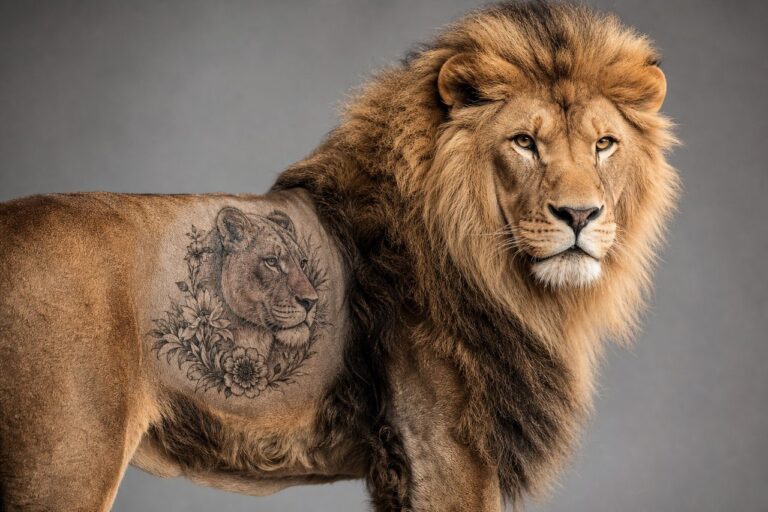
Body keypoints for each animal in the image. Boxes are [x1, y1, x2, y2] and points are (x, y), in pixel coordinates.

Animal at [0, 2, 678, 511]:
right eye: (524, 143)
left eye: (604, 144)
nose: (580, 216)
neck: (502, 276)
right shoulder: (446, 458)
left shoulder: (402, 466)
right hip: (63, 464)